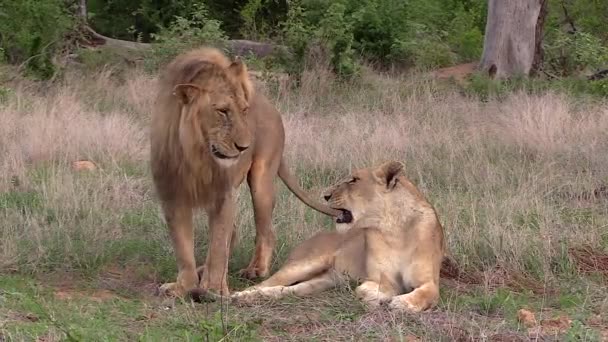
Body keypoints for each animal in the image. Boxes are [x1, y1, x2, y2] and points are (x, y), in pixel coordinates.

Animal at [151, 46, 342, 298]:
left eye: (243, 110)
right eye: (222, 111)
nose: (244, 147)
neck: (197, 155)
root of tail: (271, 107)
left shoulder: (223, 194)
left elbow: (218, 245)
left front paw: (214, 290)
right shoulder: (172, 194)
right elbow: (183, 247)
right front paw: (184, 286)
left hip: (262, 181)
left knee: (265, 231)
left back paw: (255, 270)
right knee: (231, 235)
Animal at [230, 160, 444, 312]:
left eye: (353, 180)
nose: (325, 196)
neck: (392, 228)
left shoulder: (429, 282)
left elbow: (425, 293)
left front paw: (402, 303)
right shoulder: (380, 279)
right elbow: (368, 289)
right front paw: (375, 297)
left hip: (323, 281)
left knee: (287, 290)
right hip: (303, 265)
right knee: (265, 284)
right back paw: (240, 296)